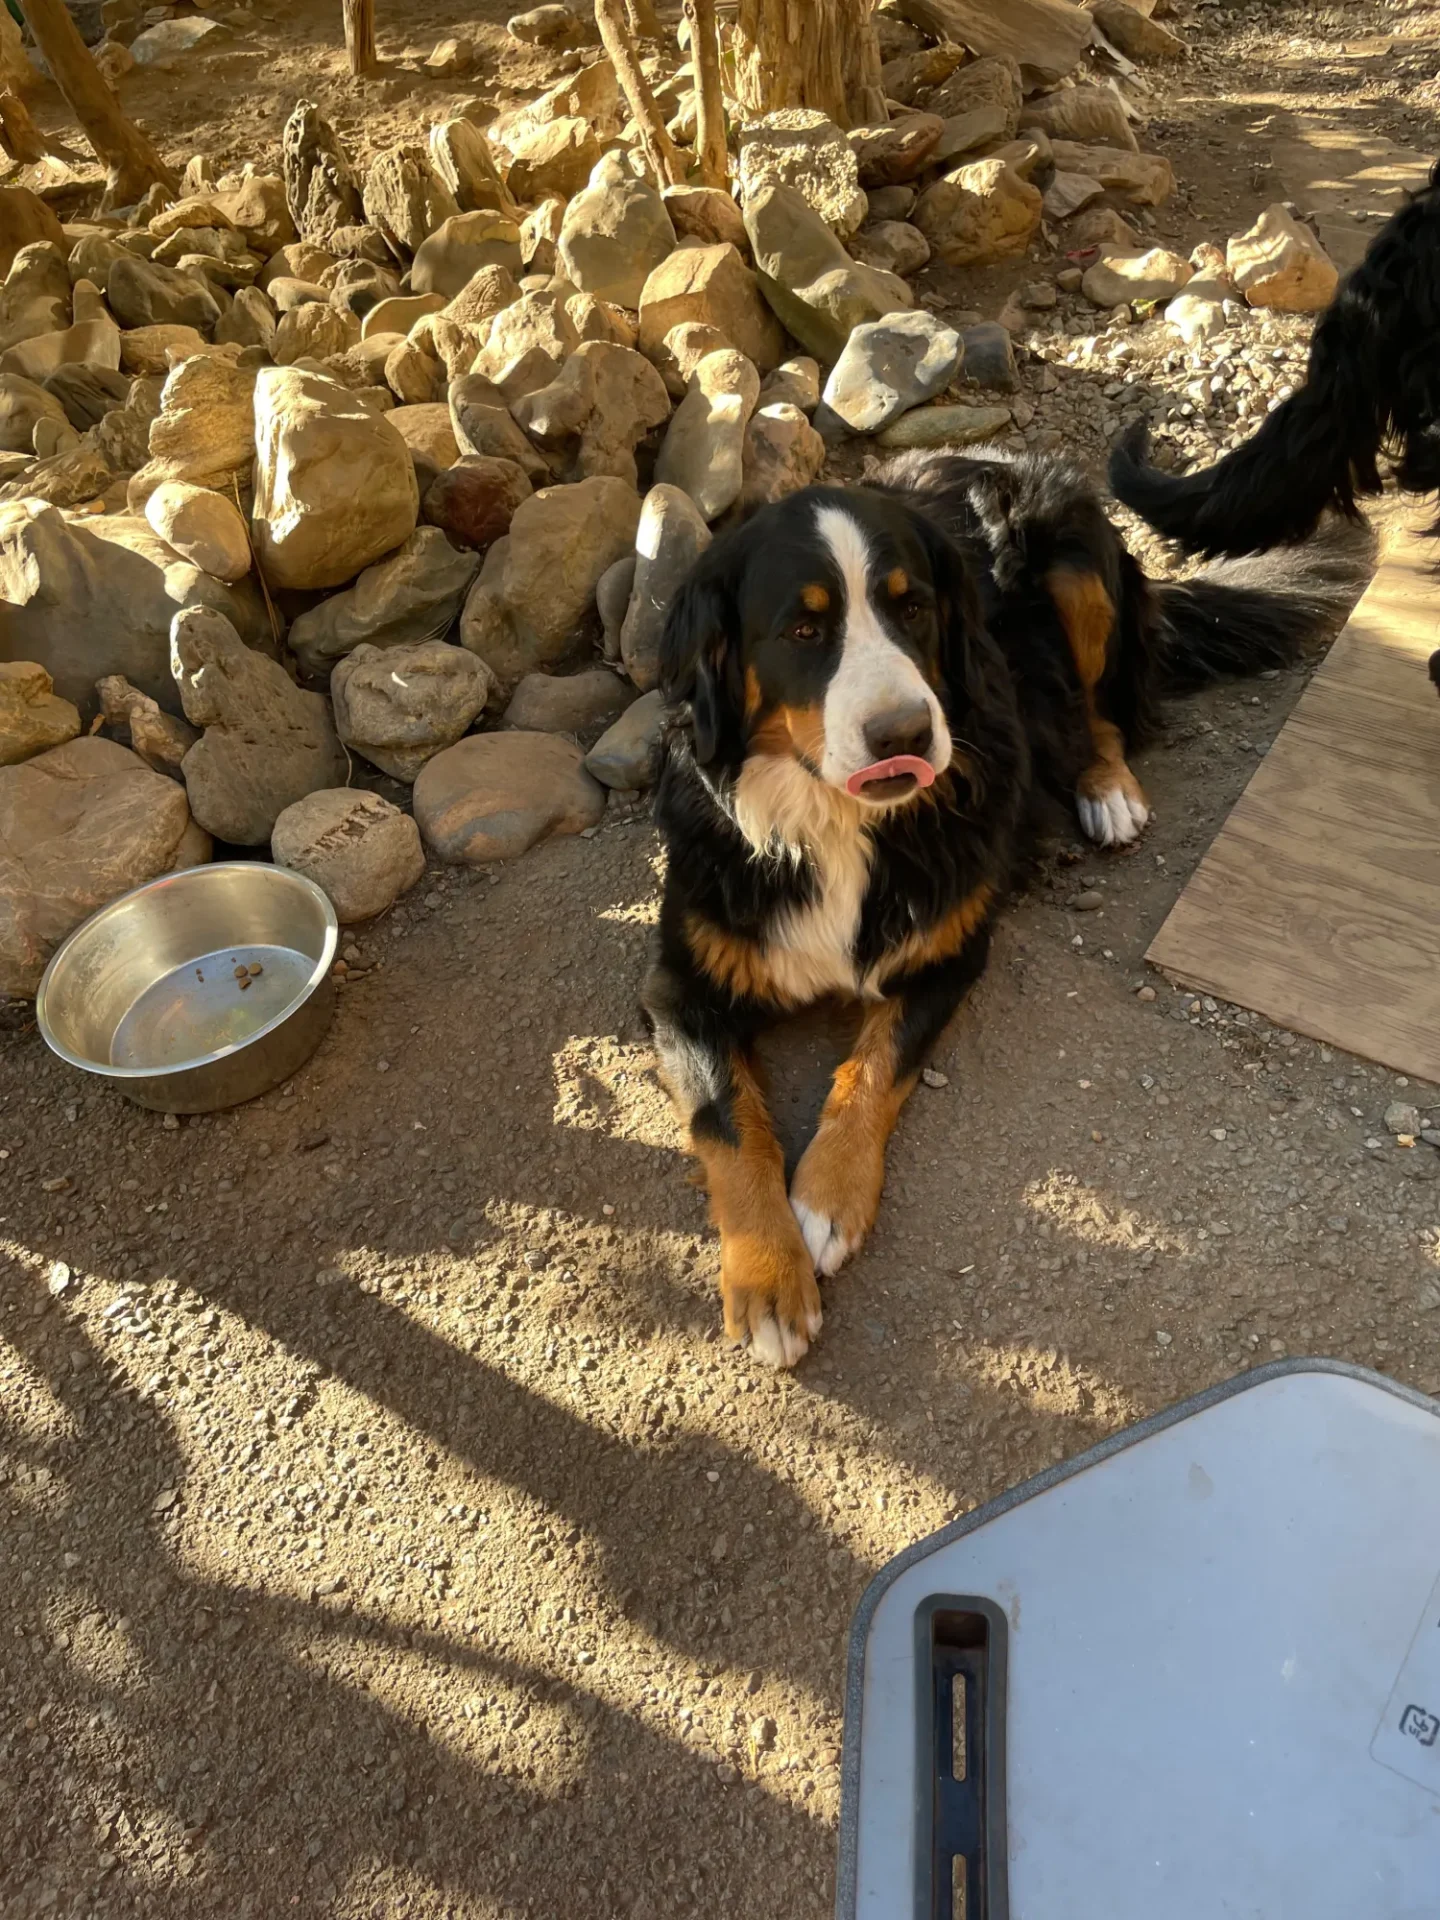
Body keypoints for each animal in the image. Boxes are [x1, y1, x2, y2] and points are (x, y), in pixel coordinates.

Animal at [645, 445, 1374, 1367]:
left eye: (912, 608)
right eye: (803, 631)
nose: (904, 736)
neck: (837, 823)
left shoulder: (947, 948)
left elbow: (872, 1068)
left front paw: (824, 1201)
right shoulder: (681, 985)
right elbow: (729, 1121)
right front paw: (770, 1278)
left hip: (1074, 564)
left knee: (1095, 713)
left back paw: (1106, 790)